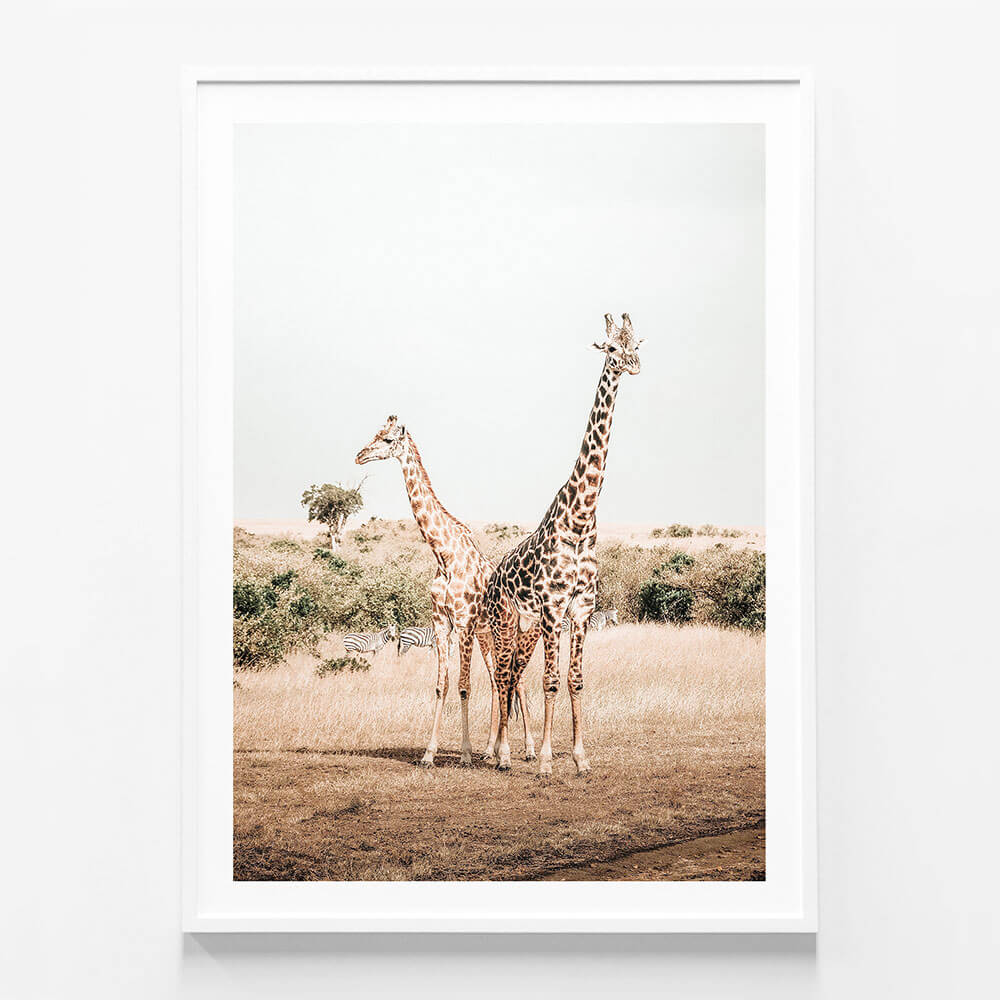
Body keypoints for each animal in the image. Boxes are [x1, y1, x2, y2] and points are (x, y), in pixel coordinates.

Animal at [355, 416, 534, 766]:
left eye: (386, 440)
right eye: (375, 434)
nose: (359, 456)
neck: (444, 555)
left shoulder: (463, 622)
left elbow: (464, 685)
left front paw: (464, 754)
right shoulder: (442, 622)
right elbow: (442, 685)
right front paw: (429, 753)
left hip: (508, 631)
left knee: (515, 681)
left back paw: (526, 751)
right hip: (487, 636)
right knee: (498, 681)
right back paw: (491, 751)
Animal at [484, 313, 643, 775]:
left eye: (635, 343)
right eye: (611, 348)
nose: (634, 364)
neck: (581, 518)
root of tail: (492, 576)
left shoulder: (582, 608)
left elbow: (575, 681)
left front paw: (580, 758)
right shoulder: (555, 608)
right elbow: (551, 682)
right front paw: (546, 762)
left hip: (526, 626)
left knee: (513, 677)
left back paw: (504, 751)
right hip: (503, 620)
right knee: (503, 676)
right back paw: (501, 755)